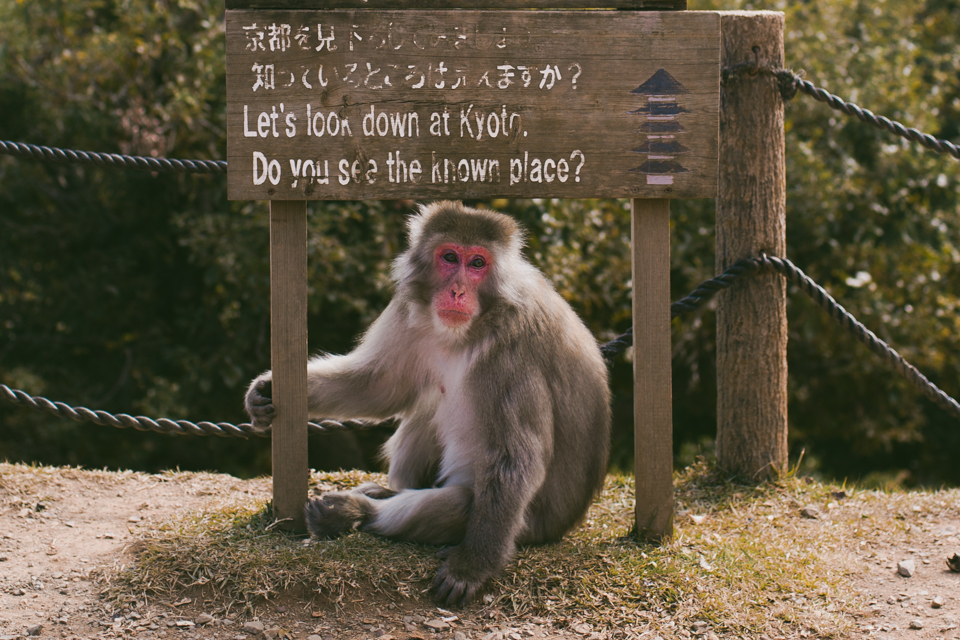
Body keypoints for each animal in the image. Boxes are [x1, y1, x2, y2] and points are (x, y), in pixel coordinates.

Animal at [246, 201, 608, 604]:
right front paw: (266, 390)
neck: (474, 325)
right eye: (449, 257)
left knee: (464, 502)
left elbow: (515, 458)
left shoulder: (514, 347)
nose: (458, 291)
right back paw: (388, 492)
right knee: (427, 413)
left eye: (477, 263)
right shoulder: (407, 308)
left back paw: (355, 513)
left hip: (530, 526)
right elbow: (380, 385)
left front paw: (472, 566)